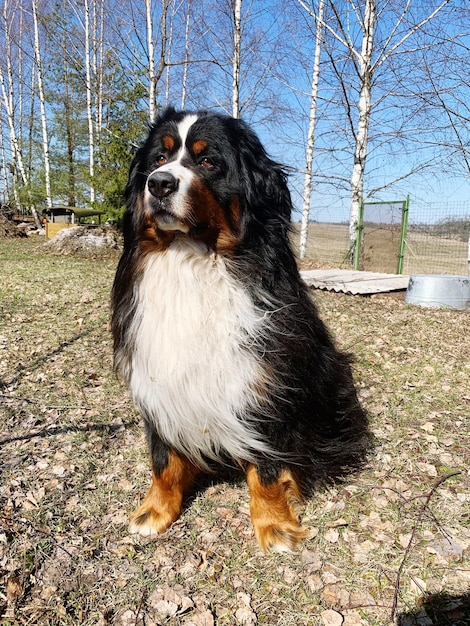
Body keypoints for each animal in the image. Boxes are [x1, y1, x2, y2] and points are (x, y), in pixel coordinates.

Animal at [112, 107, 370, 552]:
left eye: (208, 162)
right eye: (158, 159)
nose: (158, 183)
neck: (193, 259)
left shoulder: (268, 384)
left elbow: (267, 468)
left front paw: (275, 524)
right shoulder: (157, 377)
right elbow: (163, 459)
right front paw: (155, 511)